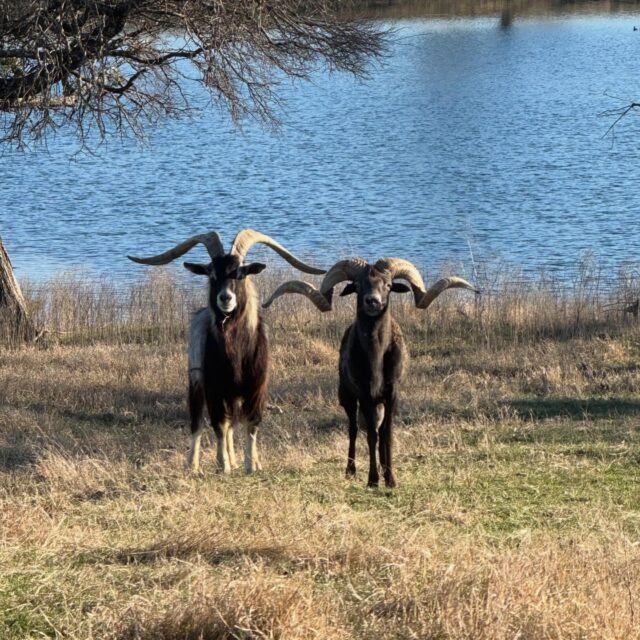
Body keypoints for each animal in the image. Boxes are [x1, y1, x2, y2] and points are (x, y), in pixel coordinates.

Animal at [128, 229, 325, 474]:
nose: (225, 298)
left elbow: (251, 423)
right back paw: (193, 465)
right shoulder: (214, 387)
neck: (237, 351)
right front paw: (223, 465)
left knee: (232, 423)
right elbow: (218, 424)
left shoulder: (256, 387)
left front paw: (251, 464)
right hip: (197, 383)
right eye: (212, 273)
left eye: (240, 273)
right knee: (198, 422)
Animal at [263, 257, 477, 487]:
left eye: (389, 285)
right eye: (358, 285)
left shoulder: (391, 394)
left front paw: (390, 478)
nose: (372, 301)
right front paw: (372, 480)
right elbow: (371, 436)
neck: (376, 357)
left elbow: (386, 434)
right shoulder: (364, 394)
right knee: (354, 429)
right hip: (347, 397)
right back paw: (351, 470)